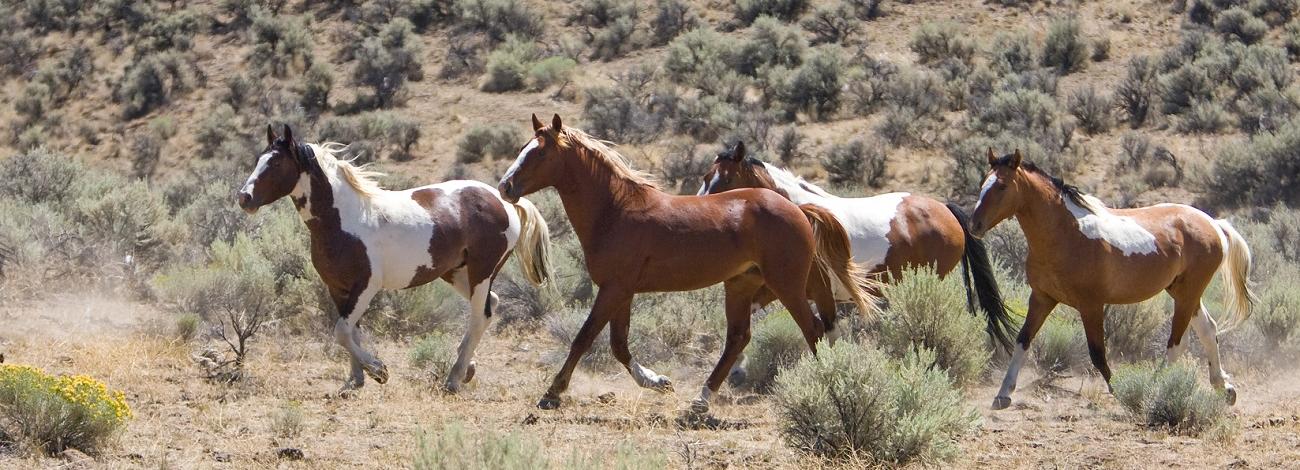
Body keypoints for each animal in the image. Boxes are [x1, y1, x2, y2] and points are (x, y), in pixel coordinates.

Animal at [491, 115, 878, 412]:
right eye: (524, 149)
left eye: (538, 153)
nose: (505, 187)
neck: (615, 212)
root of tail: (798, 209)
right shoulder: (622, 291)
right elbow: (619, 345)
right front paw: (659, 381)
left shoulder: (614, 288)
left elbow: (584, 338)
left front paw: (552, 394)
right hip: (743, 284)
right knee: (740, 337)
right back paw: (700, 401)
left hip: (786, 284)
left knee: (812, 330)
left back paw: (826, 386)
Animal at [702, 140, 1013, 347]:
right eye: (706, 177)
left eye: (725, 180)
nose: (703, 209)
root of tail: (945, 210)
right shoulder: (776, 289)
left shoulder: (817, 294)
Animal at [972, 148, 1253, 410]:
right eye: (982, 183)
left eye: (1001, 185)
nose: (975, 225)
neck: (1065, 234)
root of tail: (1214, 224)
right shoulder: (1042, 298)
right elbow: (1022, 341)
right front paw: (1003, 394)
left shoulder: (1091, 305)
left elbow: (1097, 354)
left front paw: (1120, 391)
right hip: (1182, 293)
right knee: (1206, 330)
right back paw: (1224, 388)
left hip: (1188, 293)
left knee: (1176, 342)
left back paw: (1156, 387)